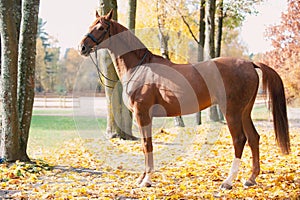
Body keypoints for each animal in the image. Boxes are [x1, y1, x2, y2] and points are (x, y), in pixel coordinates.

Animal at [78, 10, 290, 190]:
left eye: (101, 27)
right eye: (91, 25)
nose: (82, 47)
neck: (140, 67)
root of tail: (249, 63)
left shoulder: (142, 114)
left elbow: (147, 145)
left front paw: (146, 180)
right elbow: (145, 145)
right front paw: (142, 178)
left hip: (232, 112)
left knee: (240, 140)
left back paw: (228, 181)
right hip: (245, 112)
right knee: (254, 138)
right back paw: (250, 179)